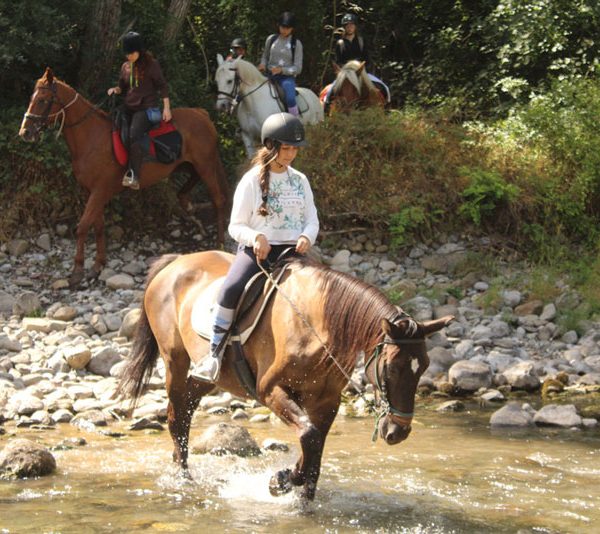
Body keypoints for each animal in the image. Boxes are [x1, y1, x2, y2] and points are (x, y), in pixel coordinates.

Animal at [18, 71, 230, 292]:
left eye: (42, 100)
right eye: (32, 98)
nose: (25, 132)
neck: (91, 138)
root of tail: (201, 114)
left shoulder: (99, 191)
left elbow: (83, 227)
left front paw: (77, 272)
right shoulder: (93, 191)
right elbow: (98, 226)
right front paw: (98, 265)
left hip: (205, 165)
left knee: (218, 200)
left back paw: (220, 242)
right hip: (191, 165)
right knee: (191, 186)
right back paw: (187, 205)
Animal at [119, 251, 452, 502]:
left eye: (423, 366)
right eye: (392, 368)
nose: (398, 432)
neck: (316, 326)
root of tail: (175, 262)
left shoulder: (326, 401)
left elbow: (315, 444)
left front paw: (299, 491)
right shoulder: (271, 391)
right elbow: (309, 436)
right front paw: (281, 480)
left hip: (205, 379)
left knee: (186, 410)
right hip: (175, 361)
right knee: (177, 417)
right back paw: (183, 478)